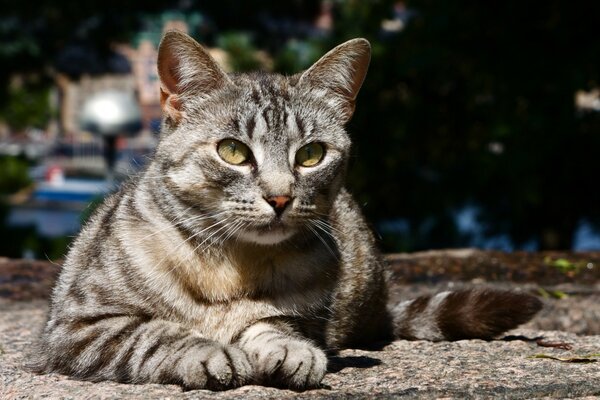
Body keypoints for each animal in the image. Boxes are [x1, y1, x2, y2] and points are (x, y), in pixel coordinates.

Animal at [30, 31, 540, 390]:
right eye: (233, 151)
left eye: (311, 154)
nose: (279, 197)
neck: (231, 264)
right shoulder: (79, 327)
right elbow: (156, 333)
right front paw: (205, 351)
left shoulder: (307, 313)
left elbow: (275, 323)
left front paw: (287, 349)